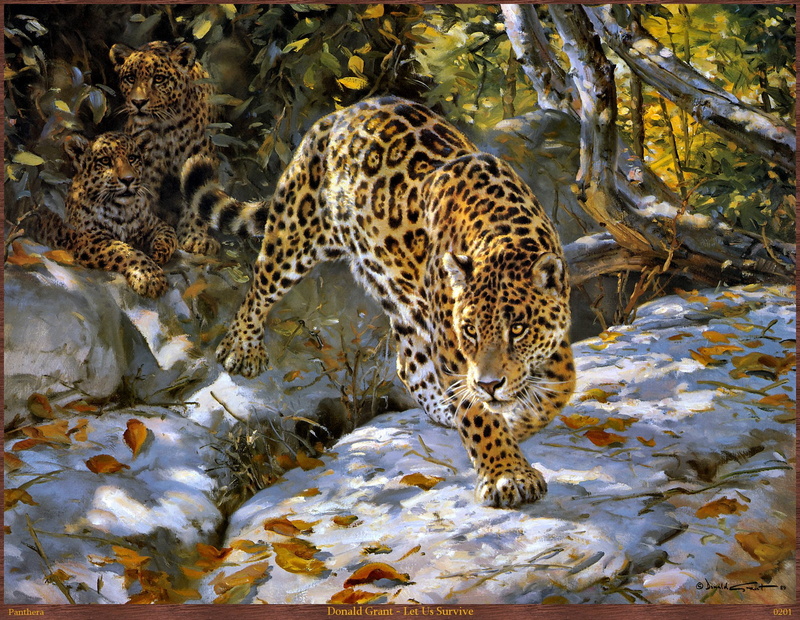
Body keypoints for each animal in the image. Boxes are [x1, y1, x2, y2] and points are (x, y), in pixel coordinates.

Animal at [30, 132, 177, 298]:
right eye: (105, 161)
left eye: (132, 158)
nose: (128, 179)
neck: (123, 210)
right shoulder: (90, 240)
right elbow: (125, 251)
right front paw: (150, 277)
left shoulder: (153, 223)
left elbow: (169, 234)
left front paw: (158, 253)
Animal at [109, 40, 219, 255]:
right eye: (130, 78)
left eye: (159, 79)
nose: (138, 102)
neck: (167, 125)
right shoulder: (146, 163)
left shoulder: (200, 154)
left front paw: (195, 238)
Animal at [182, 97, 576, 508]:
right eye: (469, 331)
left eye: (518, 329)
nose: (489, 383)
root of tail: (339, 114)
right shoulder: (453, 349)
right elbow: (481, 414)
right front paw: (506, 473)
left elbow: (560, 387)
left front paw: (516, 421)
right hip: (295, 234)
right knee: (260, 284)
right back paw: (241, 349)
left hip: (393, 287)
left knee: (409, 363)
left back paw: (445, 406)